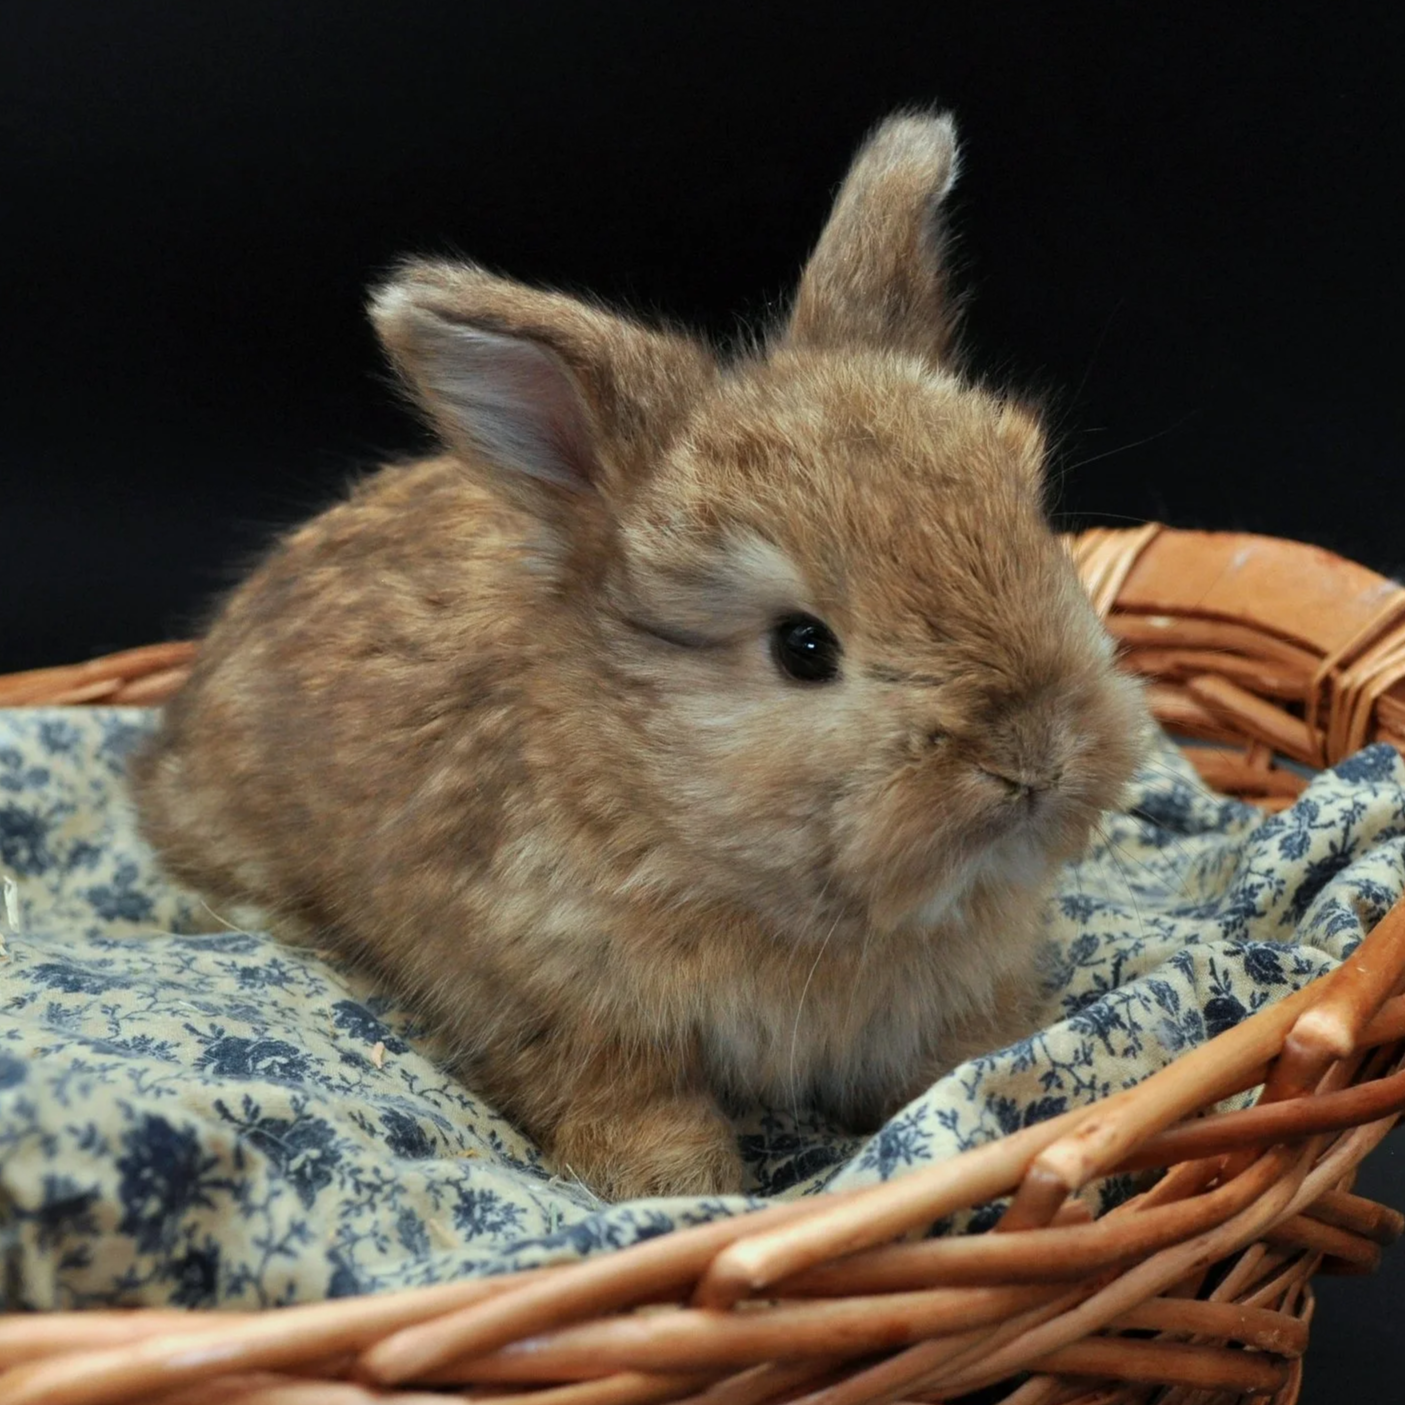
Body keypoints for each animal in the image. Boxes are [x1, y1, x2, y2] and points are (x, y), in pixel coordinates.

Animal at [132, 110, 1147, 1200]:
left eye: (1029, 520)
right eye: (802, 647)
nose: (1033, 760)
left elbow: (958, 1064)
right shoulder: (563, 1009)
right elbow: (631, 1103)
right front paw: (677, 1190)